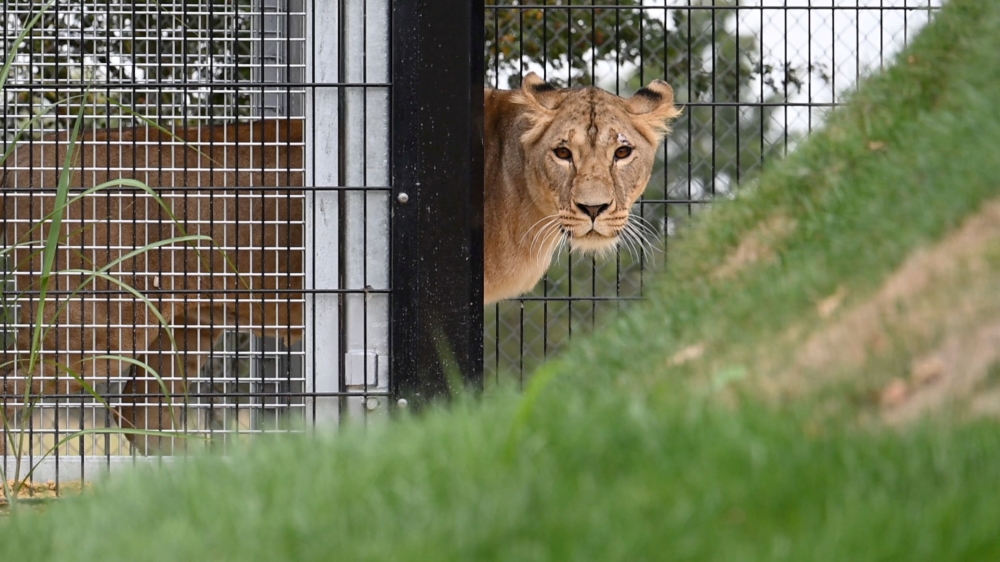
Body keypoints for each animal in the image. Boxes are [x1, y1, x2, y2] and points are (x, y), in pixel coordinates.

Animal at [0, 73, 677, 454]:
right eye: (563, 152)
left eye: (623, 152)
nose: (594, 209)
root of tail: (22, 153)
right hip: (79, 320)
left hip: (182, 323)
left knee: (142, 413)